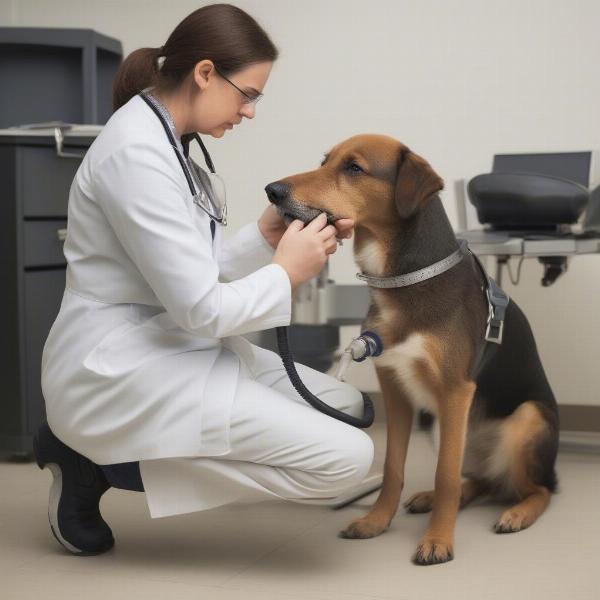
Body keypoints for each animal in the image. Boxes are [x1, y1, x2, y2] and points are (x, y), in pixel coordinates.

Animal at [264, 135, 560, 568]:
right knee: (482, 480)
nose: (272, 191)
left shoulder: (455, 391)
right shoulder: (395, 387)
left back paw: (517, 513)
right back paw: (435, 498)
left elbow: (444, 473)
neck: (406, 279)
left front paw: (438, 540)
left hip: (525, 419)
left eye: (353, 168)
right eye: (324, 162)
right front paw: (376, 520)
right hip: (446, 429)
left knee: (539, 489)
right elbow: (393, 467)